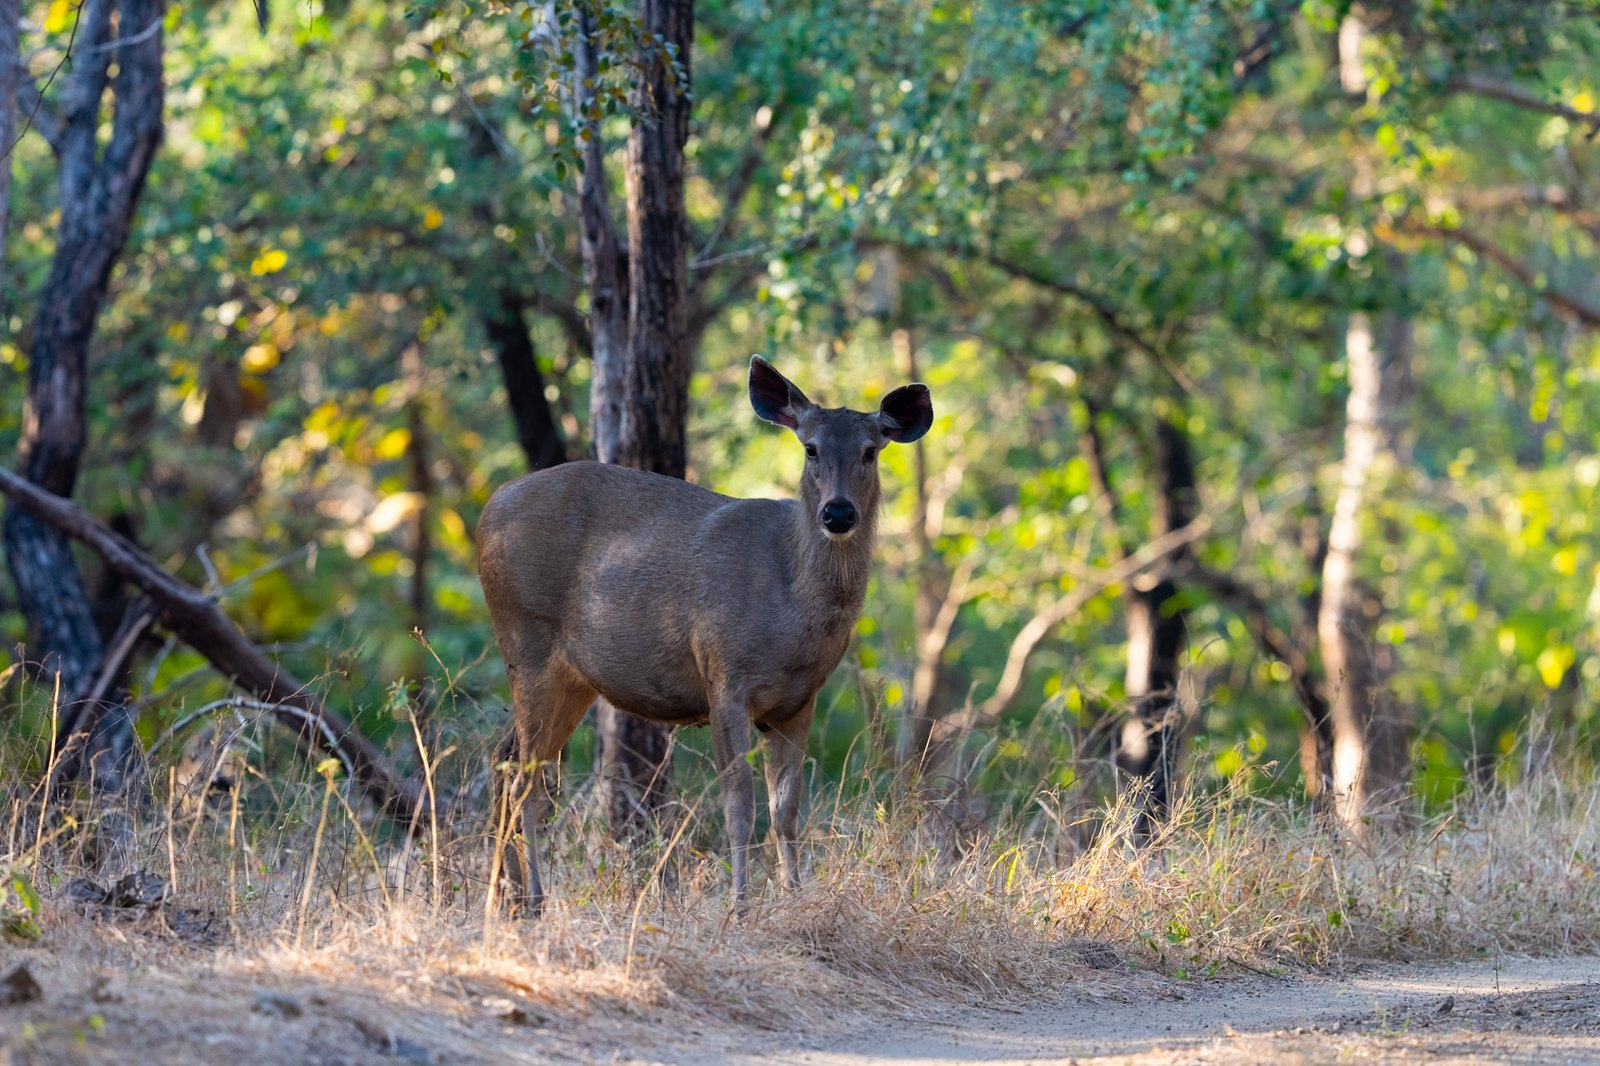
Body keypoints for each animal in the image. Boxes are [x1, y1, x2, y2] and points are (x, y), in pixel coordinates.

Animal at [475, 356, 933, 914]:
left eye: (871, 450)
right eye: (810, 448)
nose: (838, 512)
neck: (792, 608)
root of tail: (487, 511)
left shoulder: (798, 701)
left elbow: (786, 810)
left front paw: (793, 897)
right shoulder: (724, 675)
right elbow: (739, 804)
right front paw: (740, 906)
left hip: (572, 679)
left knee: (503, 760)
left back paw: (504, 897)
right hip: (527, 642)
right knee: (527, 782)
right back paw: (534, 901)